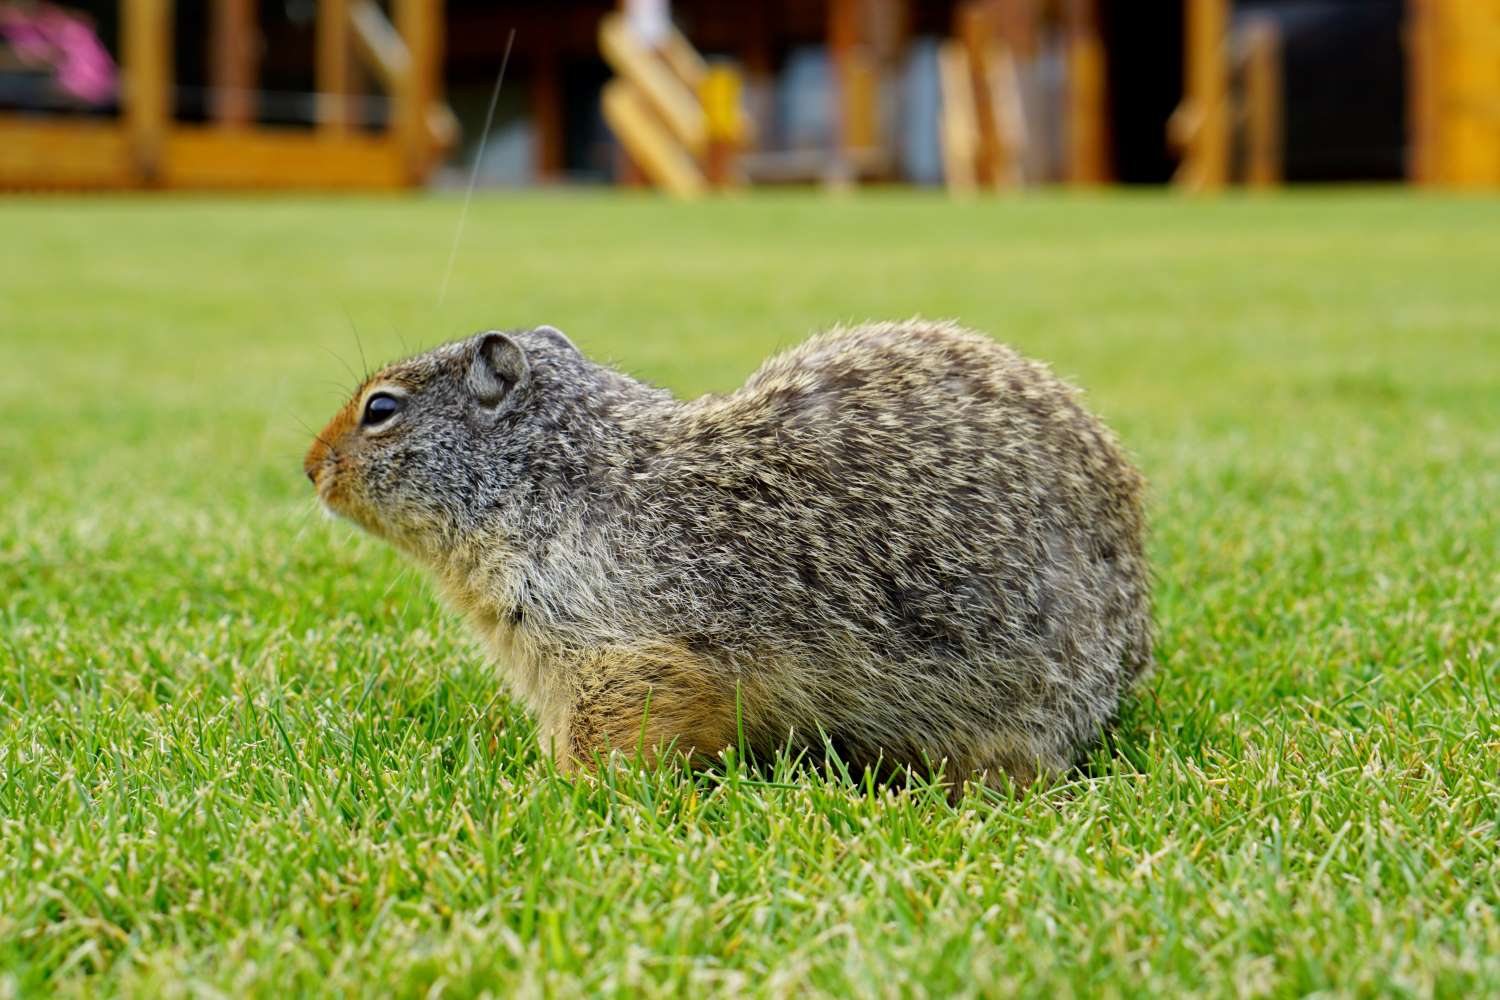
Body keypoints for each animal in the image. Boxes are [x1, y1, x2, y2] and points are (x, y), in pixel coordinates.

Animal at [301, 320, 1146, 791]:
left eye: (380, 409)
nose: (309, 466)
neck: (554, 481)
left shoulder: (615, 637)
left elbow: (630, 715)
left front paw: (566, 790)